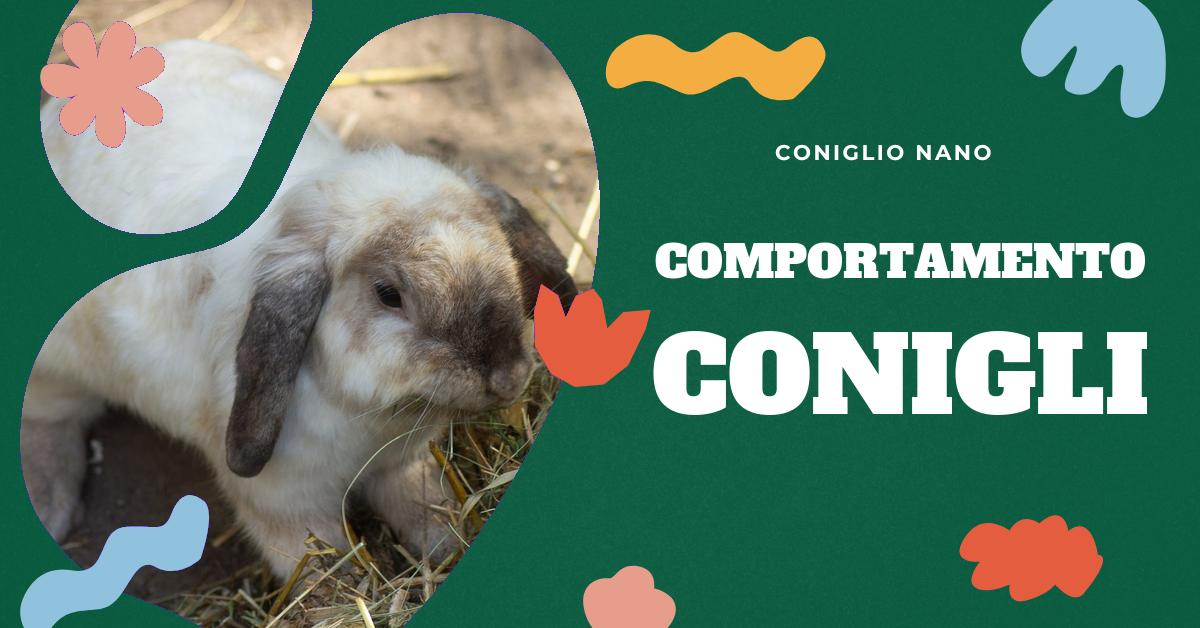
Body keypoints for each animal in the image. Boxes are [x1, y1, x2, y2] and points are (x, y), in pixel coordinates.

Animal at [26, 39, 577, 578]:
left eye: (505, 252)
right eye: (389, 294)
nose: (506, 376)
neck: (371, 420)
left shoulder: (400, 462)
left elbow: (426, 504)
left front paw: (449, 548)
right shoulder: (284, 505)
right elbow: (322, 571)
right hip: (58, 369)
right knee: (48, 420)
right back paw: (50, 507)